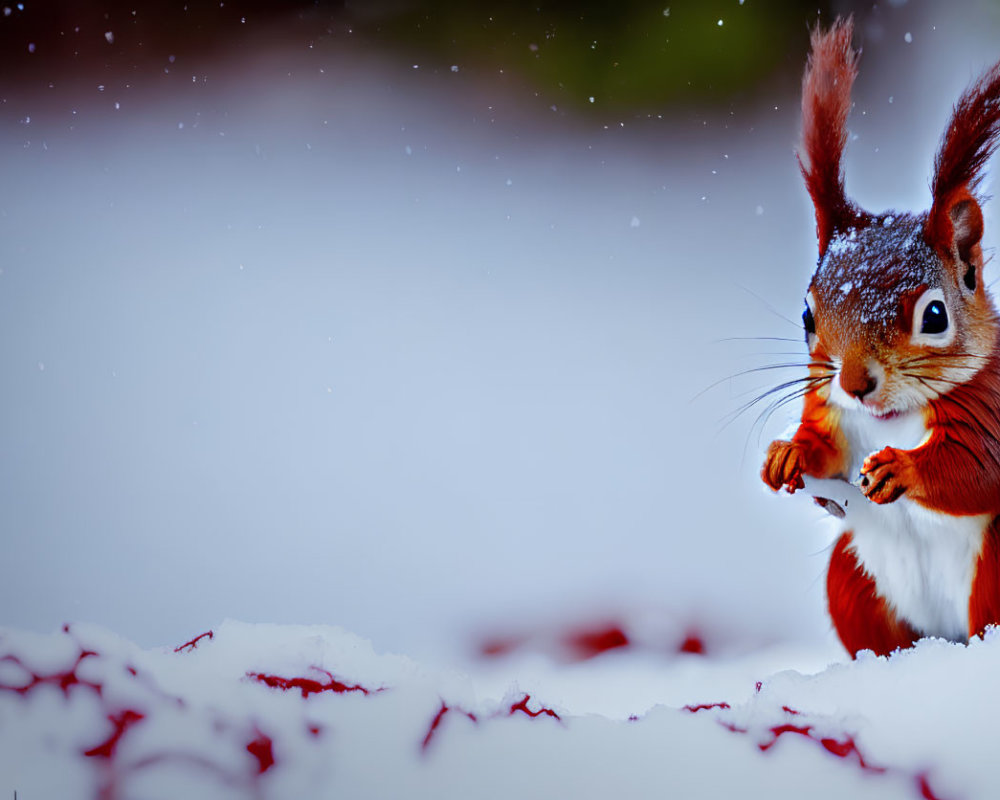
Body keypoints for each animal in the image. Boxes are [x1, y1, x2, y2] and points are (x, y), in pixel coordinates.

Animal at [760, 17, 1000, 656]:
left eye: (935, 316)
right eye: (808, 317)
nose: (854, 382)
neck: (892, 417)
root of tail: (945, 635)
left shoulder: (991, 403)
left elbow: (979, 467)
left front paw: (903, 470)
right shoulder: (825, 403)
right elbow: (823, 448)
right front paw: (787, 453)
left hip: (995, 571)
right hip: (852, 581)